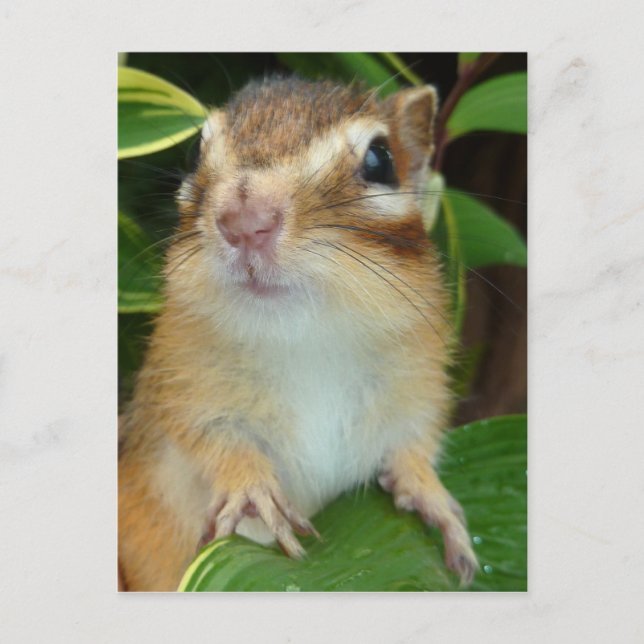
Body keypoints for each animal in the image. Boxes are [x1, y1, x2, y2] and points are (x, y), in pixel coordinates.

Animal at [118, 76, 479, 591]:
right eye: (192, 152)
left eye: (380, 159)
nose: (244, 219)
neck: (305, 341)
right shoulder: (180, 386)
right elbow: (213, 438)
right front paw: (251, 488)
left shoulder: (418, 386)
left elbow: (413, 442)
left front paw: (429, 493)